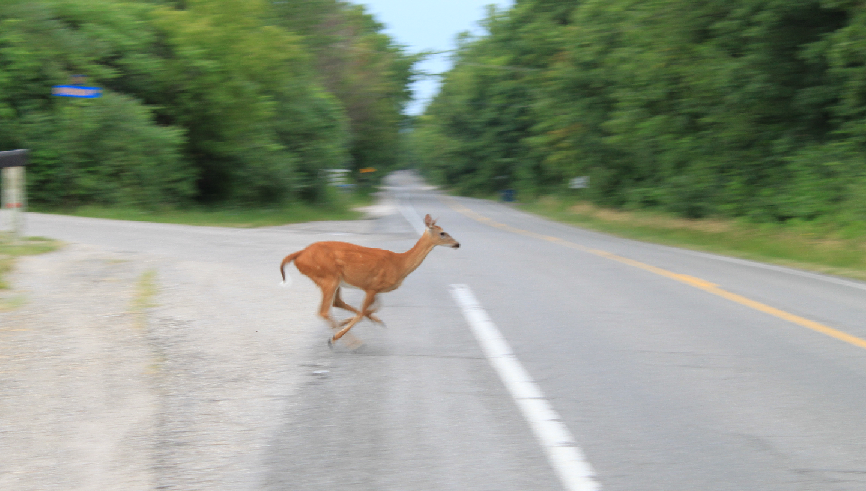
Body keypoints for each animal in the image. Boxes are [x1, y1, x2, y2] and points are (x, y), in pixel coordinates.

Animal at [280, 214, 460, 346]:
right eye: (442, 233)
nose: (457, 244)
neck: (399, 265)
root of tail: (299, 255)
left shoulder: (375, 287)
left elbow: (374, 307)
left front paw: (373, 320)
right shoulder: (372, 287)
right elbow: (363, 313)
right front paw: (338, 334)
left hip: (334, 279)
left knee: (336, 302)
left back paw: (344, 326)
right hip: (328, 276)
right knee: (324, 311)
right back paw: (348, 341)